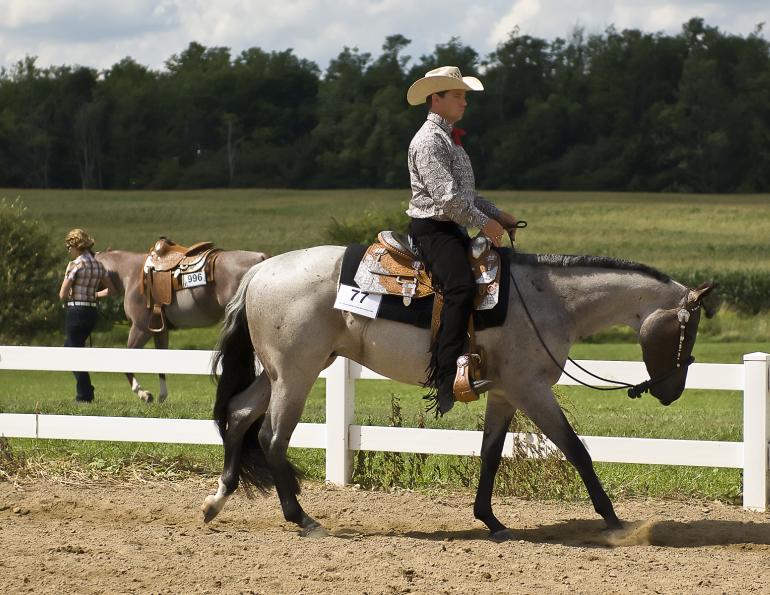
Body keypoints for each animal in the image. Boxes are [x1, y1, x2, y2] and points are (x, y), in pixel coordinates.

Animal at [96, 248, 268, 402]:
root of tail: (260, 258)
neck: (130, 274)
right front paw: (162, 396)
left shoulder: (140, 329)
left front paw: (144, 394)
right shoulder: (160, 331)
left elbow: (126, 359)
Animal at [201, 245, 714, 539]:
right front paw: (616, 522)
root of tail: (260, 273)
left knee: (239, 416)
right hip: (296, 374)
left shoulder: (505, 394)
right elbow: (577, 451)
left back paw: (216, 502)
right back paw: (302, 520)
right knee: (271, 438)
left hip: (280, 372)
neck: (550, 299)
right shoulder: (531, 390)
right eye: (686, 332)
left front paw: (490, 520)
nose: (671, 391)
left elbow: (490, 454)